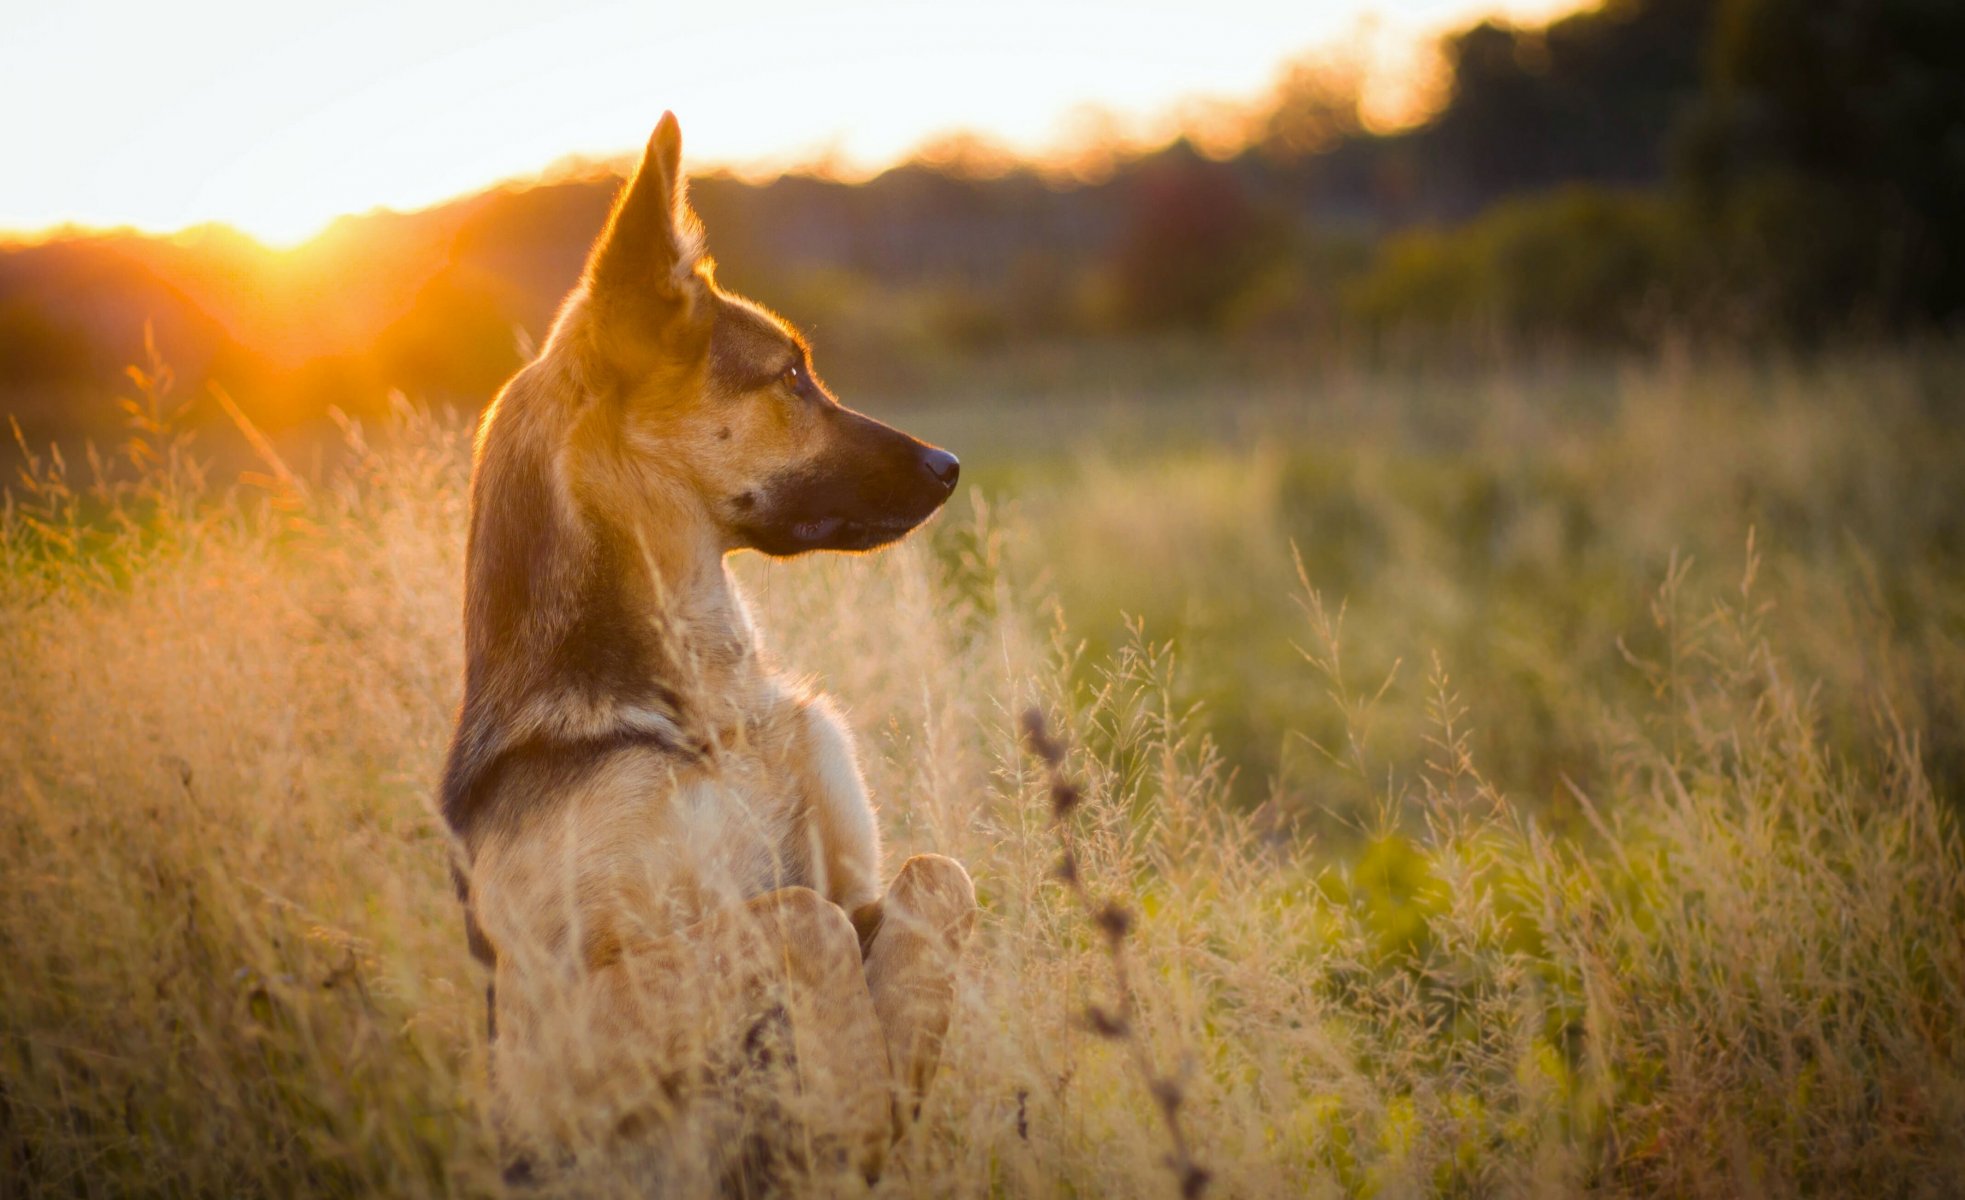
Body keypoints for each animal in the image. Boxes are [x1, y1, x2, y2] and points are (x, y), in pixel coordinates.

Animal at [438, 114, 974, 1194]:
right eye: (792, 378)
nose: (949, 467)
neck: (704, 711)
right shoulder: (546, 1040)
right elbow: (798, 920)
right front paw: (851, 1112)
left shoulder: (864, 888)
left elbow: (933, 878)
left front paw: (880, 1103)